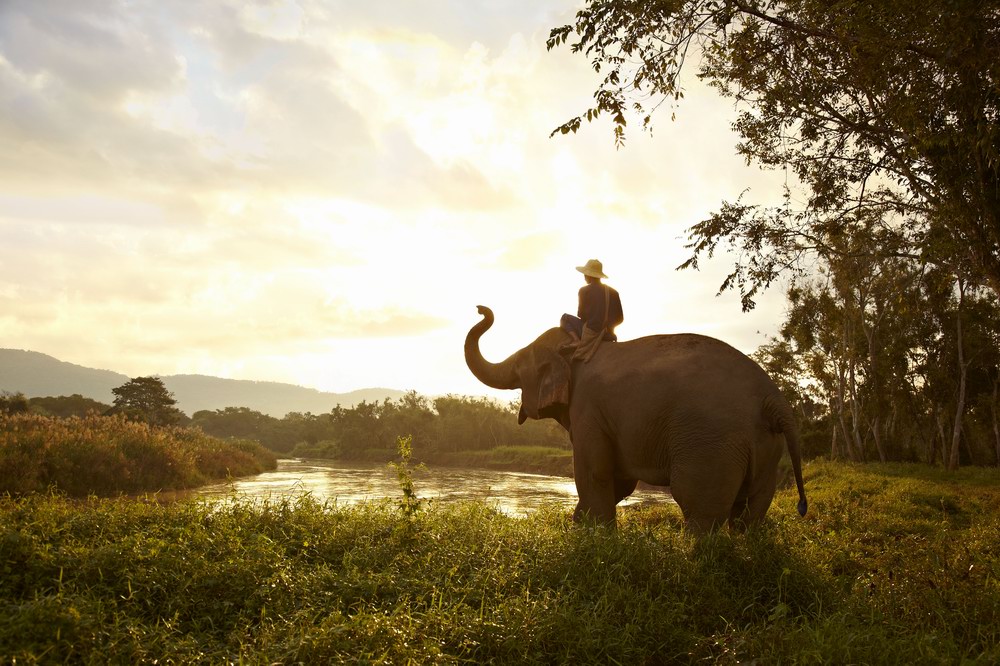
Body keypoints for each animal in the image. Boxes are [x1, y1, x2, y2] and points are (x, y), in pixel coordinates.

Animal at [464, 304, 808, 532]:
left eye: (520, 366)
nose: (481, 309)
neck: (576, 349)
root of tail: (773, 397)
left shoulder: (588, 408)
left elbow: (595, 471)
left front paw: (594, 539)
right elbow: (621, 480)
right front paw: (580, 525)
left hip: (712, 442)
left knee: (698, 504)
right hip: (766, 446)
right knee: (752, 508)